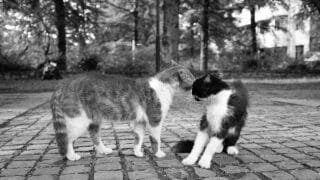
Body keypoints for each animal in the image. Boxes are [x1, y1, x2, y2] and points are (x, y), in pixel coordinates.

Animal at [51, 64, 195, 161]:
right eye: (193, 78)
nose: (196, 81)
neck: (164, 86)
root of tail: (64, 83)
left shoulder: (140, 122)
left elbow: (138, 138)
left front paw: (137, 152)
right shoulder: (155, 120)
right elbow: (155, 139)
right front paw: (158, 153)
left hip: (94, 119)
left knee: (94, 135)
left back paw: (104, 150)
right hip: (78, 121)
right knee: (67, 139)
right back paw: (71, 156)